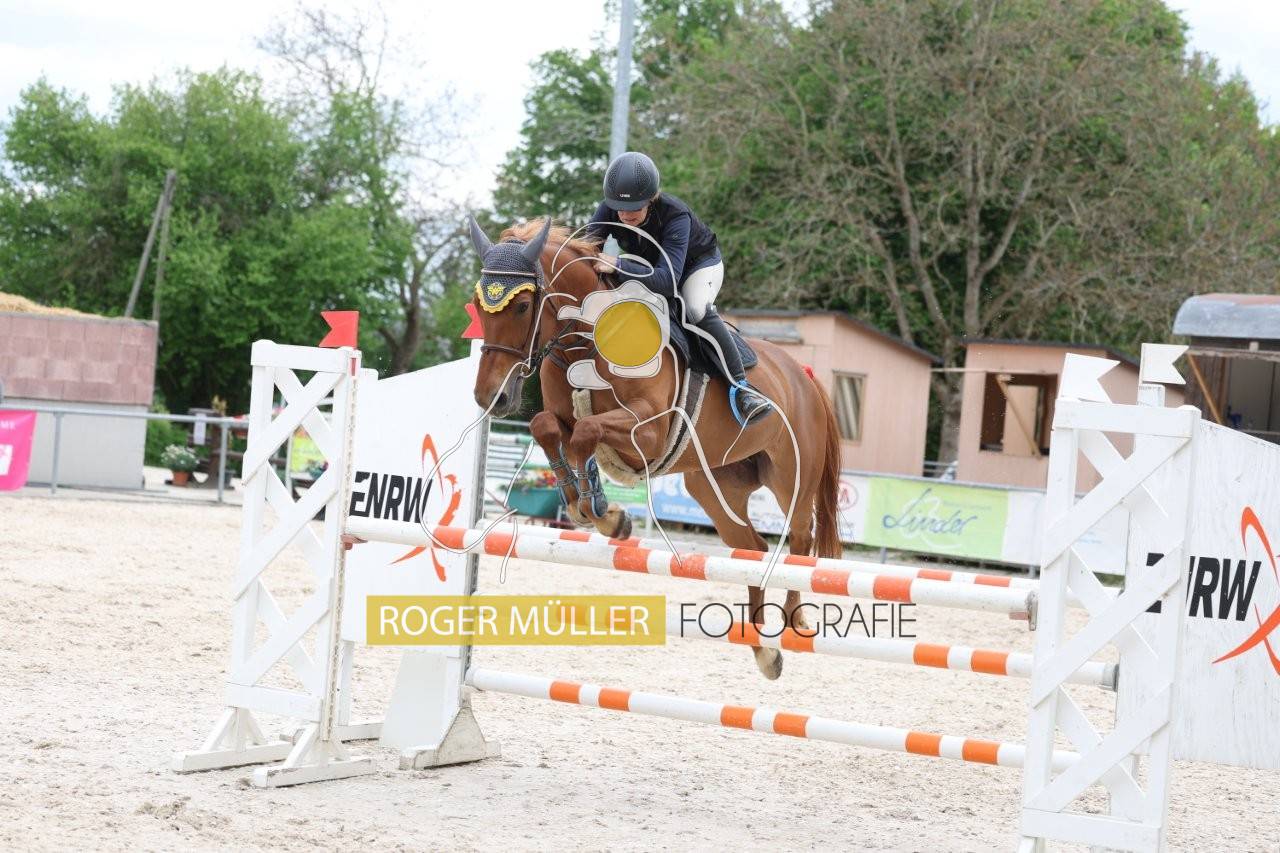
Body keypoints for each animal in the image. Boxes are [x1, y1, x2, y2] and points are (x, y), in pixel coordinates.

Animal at [467, 216, 844, 679]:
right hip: (714, 486)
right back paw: (763, 649)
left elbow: (586, 432)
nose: (492, 397)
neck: (587, 339)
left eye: (522, 306)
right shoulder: (562, 417)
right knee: (752, 547)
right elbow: (547, 428)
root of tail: (805, 376)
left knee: (801, 538)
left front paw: (602, 513)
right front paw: (591, 508)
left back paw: (794, 622)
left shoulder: (647, 434)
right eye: (479, 303)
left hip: (791, 477)